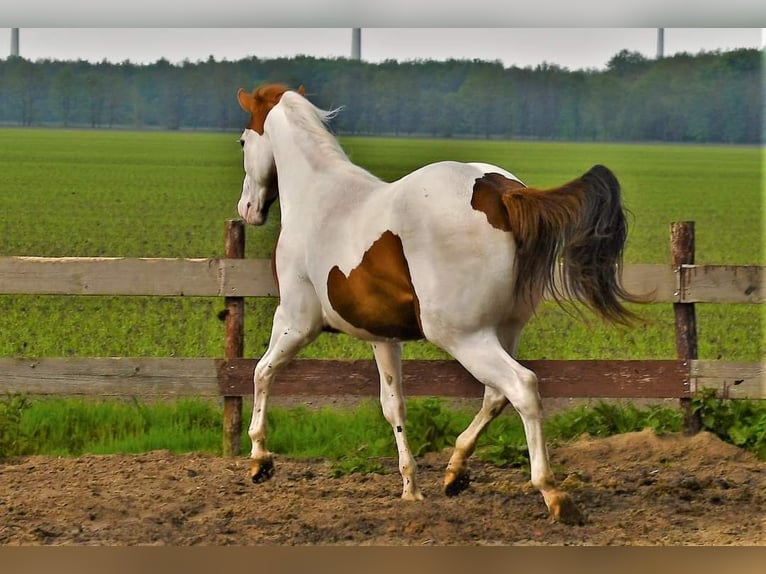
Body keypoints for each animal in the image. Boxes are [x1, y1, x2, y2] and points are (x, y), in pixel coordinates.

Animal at [235, 83, 640, 525]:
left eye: (243, 141)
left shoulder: (295, 320)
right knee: (496, 396)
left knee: (522, 387)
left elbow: (261, 372)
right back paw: (455, 471)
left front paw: (260, 460)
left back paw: (552, 493)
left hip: (463, 337)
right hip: (502, 331)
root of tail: (501, 192)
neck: (319, 197)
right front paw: (411, 488)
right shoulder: (383, 337)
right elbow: (393, 406)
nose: (247, 210)